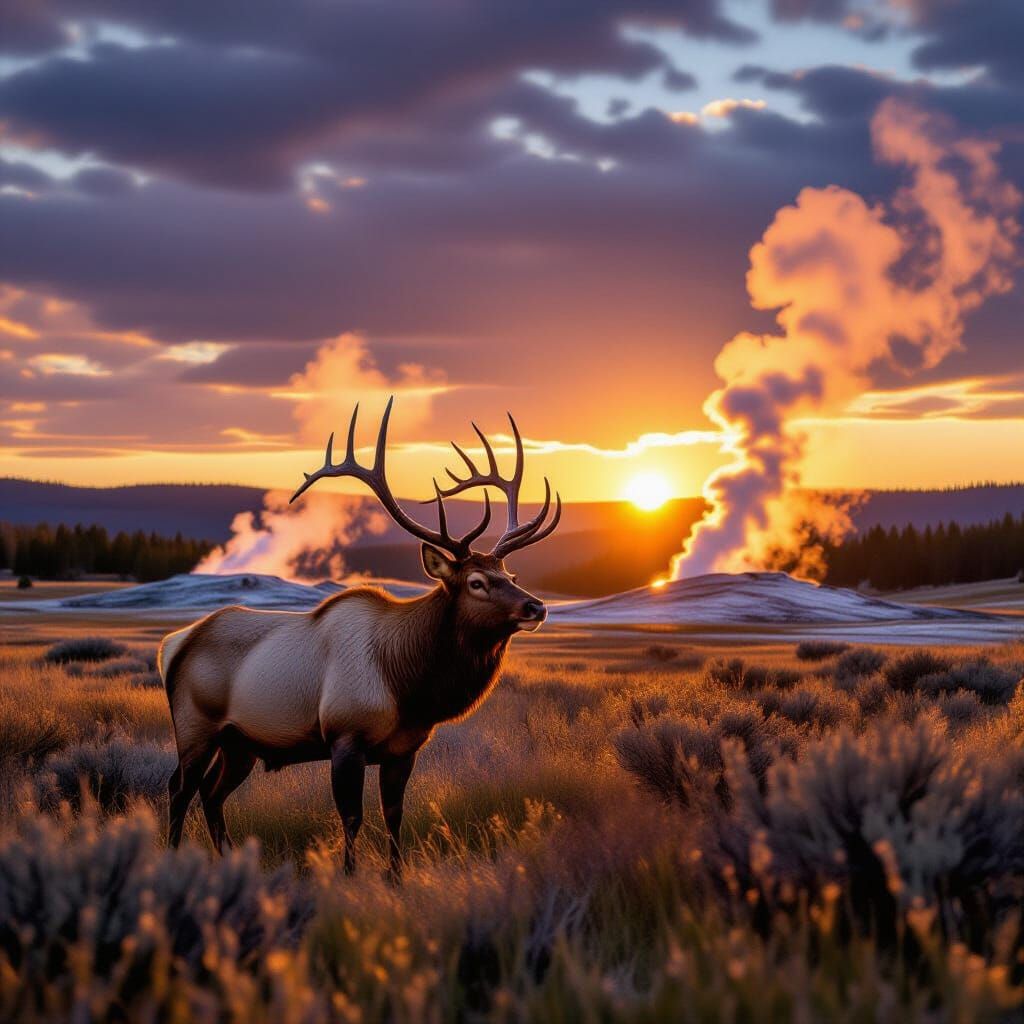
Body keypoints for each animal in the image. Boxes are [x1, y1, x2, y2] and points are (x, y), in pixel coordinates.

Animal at [158, 398, 560, 878]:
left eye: (511, 575)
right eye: (477, 582)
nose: (536, 607)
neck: (408, 685)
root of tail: (173, 645)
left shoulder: (404, 748)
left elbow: (394, 815)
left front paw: (396, 877)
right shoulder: (345, 736)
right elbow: (352, 817)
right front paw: (350, 875)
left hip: (239, 743)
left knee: (211, 794)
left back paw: (231, 861)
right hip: (195, 727)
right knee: (179, 788)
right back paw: (174, 858)